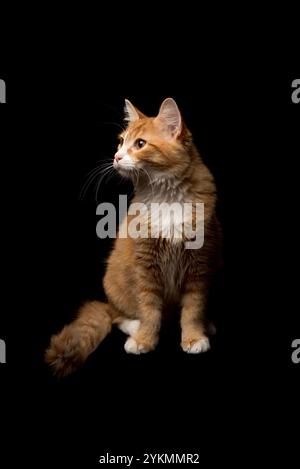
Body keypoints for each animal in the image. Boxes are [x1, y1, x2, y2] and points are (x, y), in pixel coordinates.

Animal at [45, 97, 223, 374]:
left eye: (140, 144)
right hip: (113, 282)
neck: (165, 198)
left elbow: (193, 309)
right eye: (120, 142)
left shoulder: (200, 265)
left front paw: (194, 336)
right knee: (117, 315)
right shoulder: (145, 266)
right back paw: (134, 326)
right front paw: (144, 339)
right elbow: (149, 311)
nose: (117, 156)